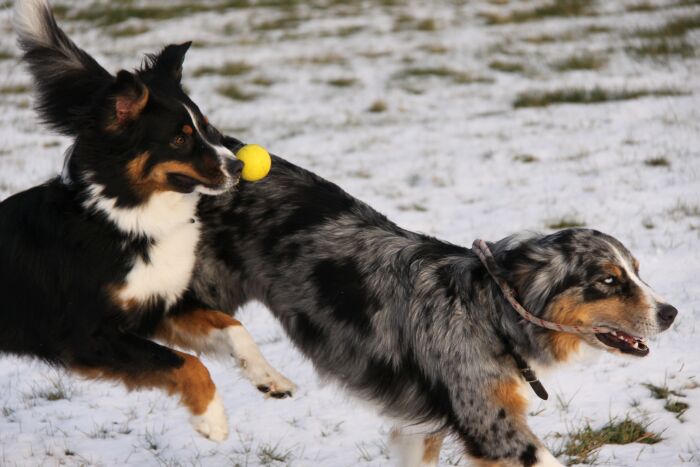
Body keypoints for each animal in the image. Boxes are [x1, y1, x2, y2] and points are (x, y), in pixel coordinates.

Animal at [193, 148, 680, 466]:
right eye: (608, 281)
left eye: (637, 271)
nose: (671, 313)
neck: (488, 316)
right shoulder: (490, 422)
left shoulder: (422, 429)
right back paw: (254, 379)